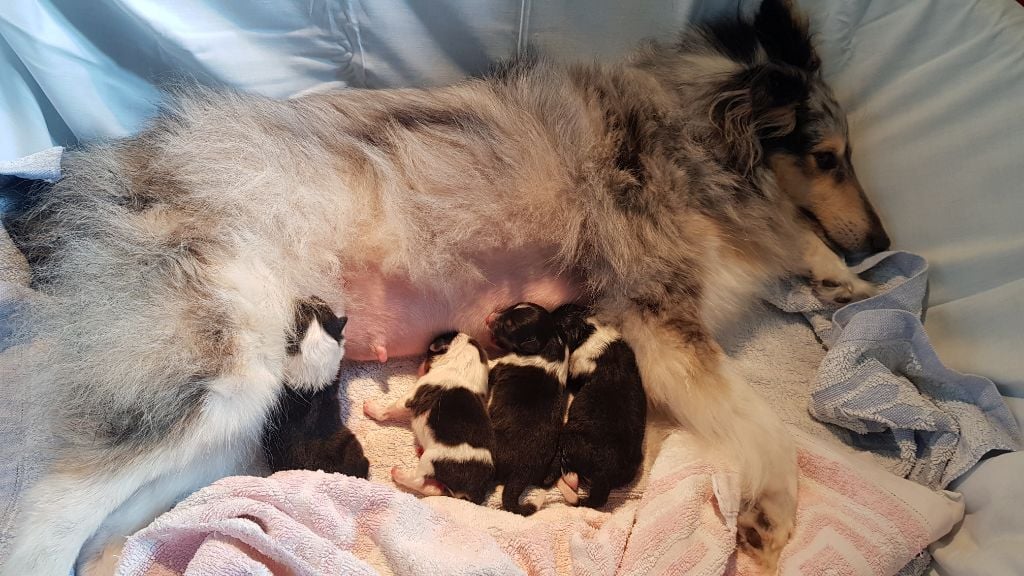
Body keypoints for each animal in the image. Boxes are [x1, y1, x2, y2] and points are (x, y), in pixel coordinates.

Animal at [364, 330, 495, 500]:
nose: (419, 367)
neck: (462, 370)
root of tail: (474, 489)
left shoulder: (410, 397)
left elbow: (388, 410)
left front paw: (371, 408)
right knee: (436, 490)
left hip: (431, 460)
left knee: (418, 480)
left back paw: (398, 474)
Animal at [485, 303, 569, 512]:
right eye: (510, 307)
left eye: (508, 325)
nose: (489, 317)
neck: (547, 342)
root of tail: (521, 473)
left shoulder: (499, 368)